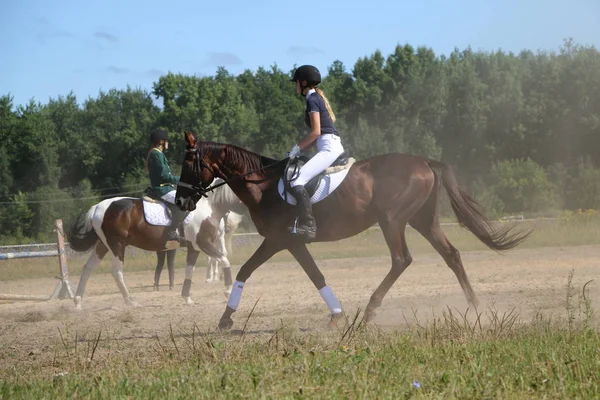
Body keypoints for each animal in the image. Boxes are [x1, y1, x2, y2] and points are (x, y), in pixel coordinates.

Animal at [65, 179, 244, 310]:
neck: (209, 206)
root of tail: (97, 207)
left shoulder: (194, 248)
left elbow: (189, 270)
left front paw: (187, 298)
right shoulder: (203, 244)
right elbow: (224, 260)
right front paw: (228, 290)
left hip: (103, 244)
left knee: (88, 268)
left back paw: (78, 302)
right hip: (117, 245)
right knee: (117, 271)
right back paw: (130, 301)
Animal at [176, 133, 532, 330]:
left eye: (187, 164)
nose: (181, 200)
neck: (263, 185)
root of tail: (424, 162)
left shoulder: (279, 240)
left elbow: (247, 271)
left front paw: (226, 318)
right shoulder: (290, 243)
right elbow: (314, 276)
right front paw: (336, 315)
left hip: (392, 220)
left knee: (402, 260)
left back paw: (371, 310)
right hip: (422, 220)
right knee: (451, 255)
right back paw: (475, 309)